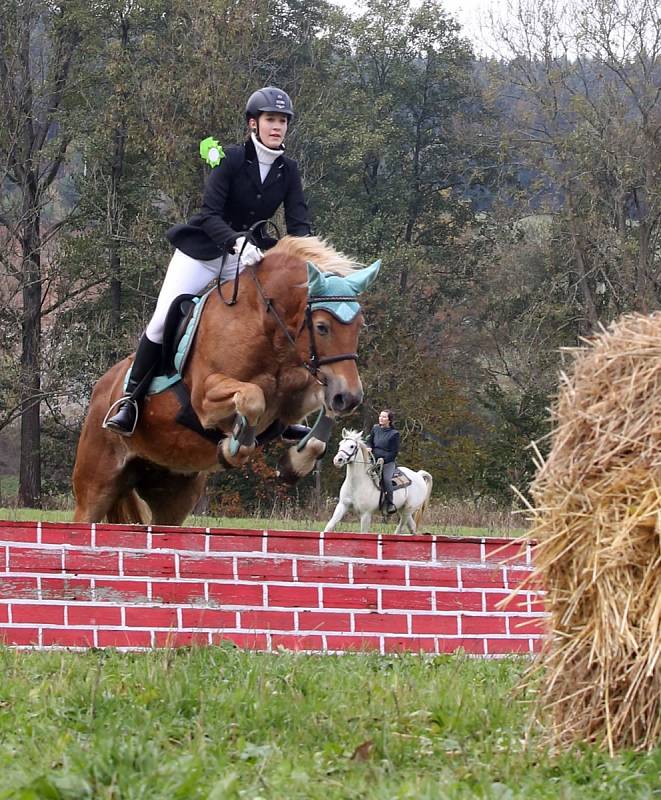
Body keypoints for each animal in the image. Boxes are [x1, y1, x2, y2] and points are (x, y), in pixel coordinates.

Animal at [71, 238, 376, 524]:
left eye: (360, 326)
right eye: (322, 327)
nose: (350, 398)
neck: (266, 328)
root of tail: (101, 389)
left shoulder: (300, 393)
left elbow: (322, 413)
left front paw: (294, 463)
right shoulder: (204, 398)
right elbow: (253, 398)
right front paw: (234, 448)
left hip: (174, 492)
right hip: (96, 487)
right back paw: (123, 413)